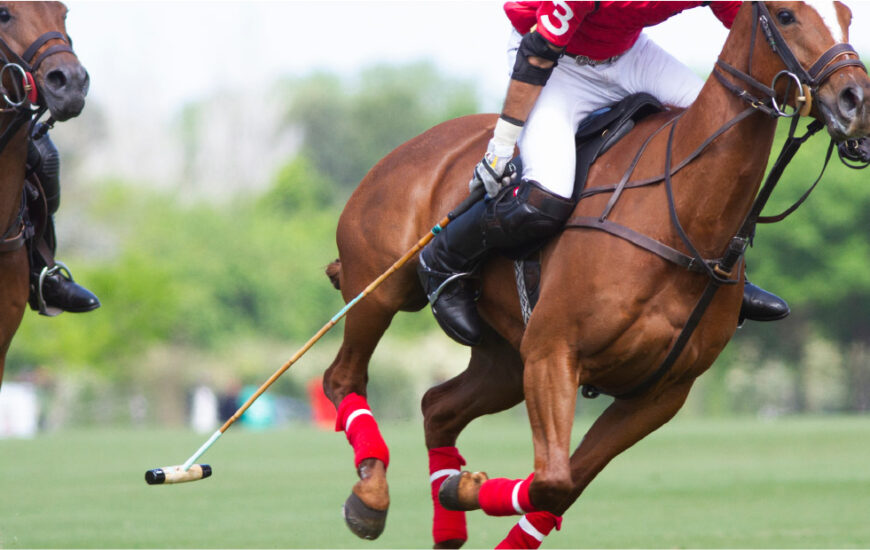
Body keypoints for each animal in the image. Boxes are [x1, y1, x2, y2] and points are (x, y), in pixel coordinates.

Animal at [324, 2, 870, 547]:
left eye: (847, 16)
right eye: (786, 15)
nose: (856, 102)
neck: (681, 217)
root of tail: (410, 146)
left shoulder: (660, 392)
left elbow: (562, 487)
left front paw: (459, 487)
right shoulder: (553, 354)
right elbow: (551, 479)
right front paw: (464, 486)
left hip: (504, 359)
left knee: (437, 405)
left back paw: (446, 512)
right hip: (381, 290)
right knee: (343, 376)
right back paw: (370, 496)